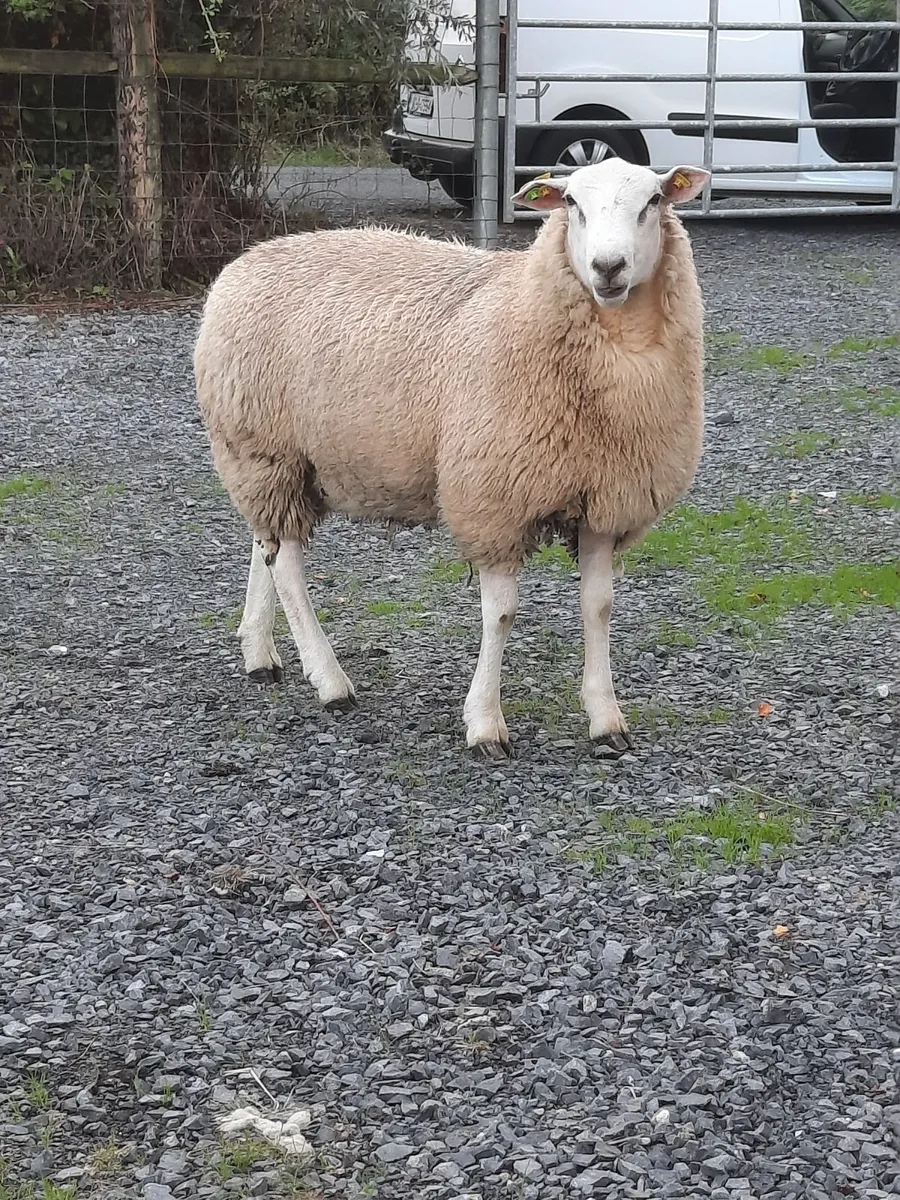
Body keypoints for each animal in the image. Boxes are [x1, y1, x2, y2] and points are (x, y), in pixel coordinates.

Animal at [194, 156, 709, 760]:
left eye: (653, 201)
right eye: (572, 204)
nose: (608, 267)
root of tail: (245, 261)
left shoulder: (606, 501)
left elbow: (598, 607)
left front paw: (606, 717)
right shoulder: (494, 500)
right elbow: (502, 614)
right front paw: (485, 724)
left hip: (273, 460)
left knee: (267, 546)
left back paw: (259, 652)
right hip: (265, 448)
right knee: (290, 568)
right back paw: (331, 682)